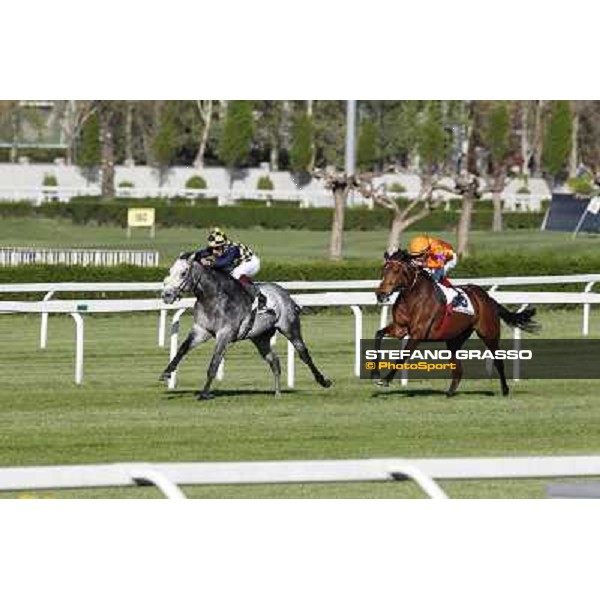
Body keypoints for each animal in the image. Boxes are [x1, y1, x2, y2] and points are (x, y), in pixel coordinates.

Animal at [158, 252, 332, 398]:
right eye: (170, 271)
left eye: (183, 273)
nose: (167, 295)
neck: (213, 298)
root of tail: (285, 294)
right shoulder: (201, 330)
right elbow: (182, 349)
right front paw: (166, 372)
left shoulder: (225, 334)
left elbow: (214, 363)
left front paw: (205, 393)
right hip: (260, 338)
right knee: (274, 361)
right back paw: (277, 392)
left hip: (290, 327)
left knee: (303, 353)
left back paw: (323, 381)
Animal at [376, 250, 540, 396]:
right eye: (384, 270)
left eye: (396, 270)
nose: (380, 294)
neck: (413, 296)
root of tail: (488, 298)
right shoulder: (400, 328)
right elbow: (379, 334)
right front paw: (375, 374)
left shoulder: (418, 333)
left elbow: (402, 356)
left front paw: (386, 380)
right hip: (455, 339)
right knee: (458, 369)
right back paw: (450, 392)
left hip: (489, 334)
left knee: (498, 361)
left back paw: (505, 390)